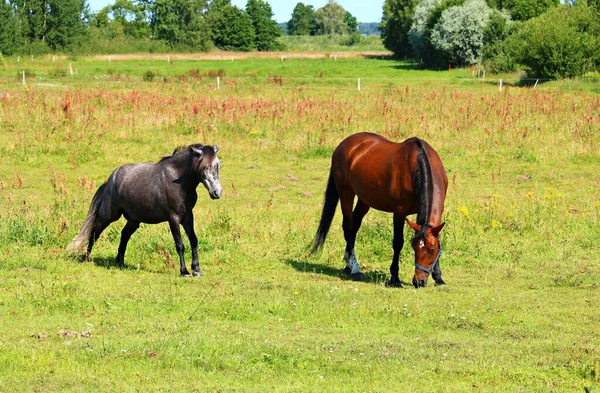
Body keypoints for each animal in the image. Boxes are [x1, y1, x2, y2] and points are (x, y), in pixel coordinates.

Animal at [68, 143, 223, 276]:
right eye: (205, 167)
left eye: (218, 165)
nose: (217, 192)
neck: (178, 181)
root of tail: (109, 181)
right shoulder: (173, 218)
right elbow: (180, 244)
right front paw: (184, 271)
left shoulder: (188, 216)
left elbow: (194, 241)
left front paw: (196, 269)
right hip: (108, 216)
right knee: (95, 232)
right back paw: (86, 258)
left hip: (133, 220)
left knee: (124, 235)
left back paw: (120, 262)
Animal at [312, 133, 448, 286]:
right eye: (414, 247)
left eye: (431, 249)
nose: (419, 281)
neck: (417, 163)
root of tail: (343, 145)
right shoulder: (399, 213)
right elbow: (398, 243)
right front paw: (395, 278)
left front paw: (438, 277)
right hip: (346, 193)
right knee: (348, 227)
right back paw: (354, 268)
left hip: (364, 199)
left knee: (354, 226)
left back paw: (348, 265)